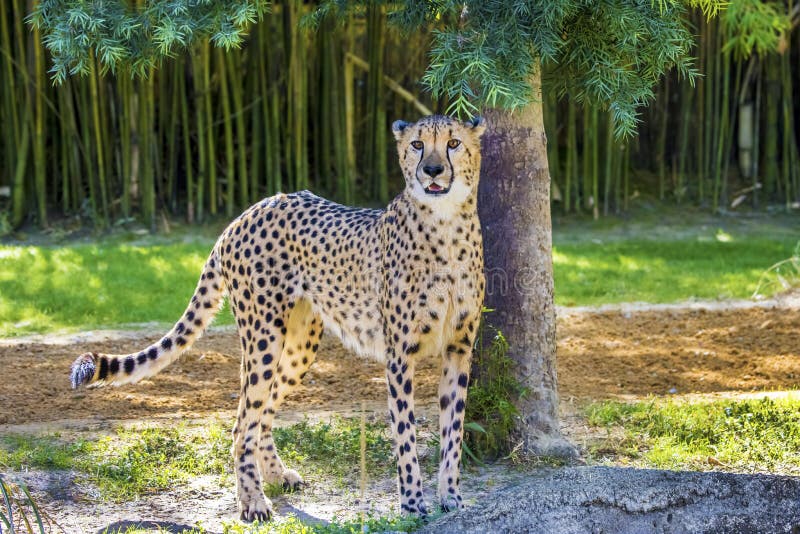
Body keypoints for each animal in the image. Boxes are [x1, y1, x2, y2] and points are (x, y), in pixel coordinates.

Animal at [72, 115, 488, 520]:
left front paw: (451, 497)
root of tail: (248, 212)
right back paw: (252, 502)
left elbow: (453, 430)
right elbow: (405, 435)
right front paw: (413, 504)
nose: (432, 170)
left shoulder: (459, 348)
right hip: (263, 337)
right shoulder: (399, 355)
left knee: (261, 411)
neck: (445, 226)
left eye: (453, 143)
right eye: (417, 144)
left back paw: (274, 474)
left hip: (299, 346)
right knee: (242, 421)